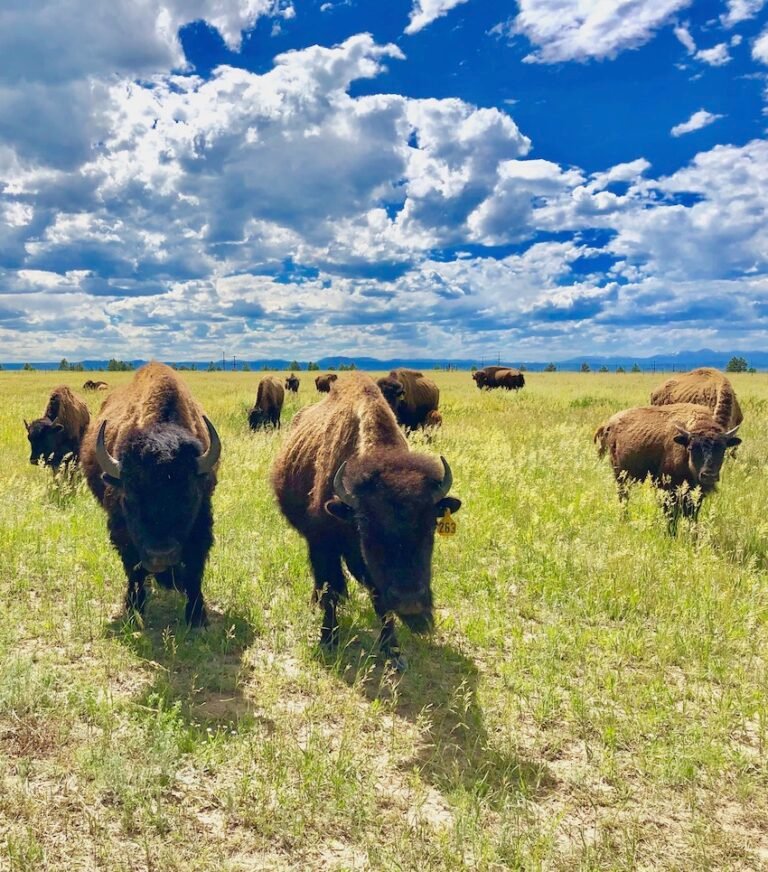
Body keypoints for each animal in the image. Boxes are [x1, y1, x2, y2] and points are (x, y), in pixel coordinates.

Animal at [81, 362, 221, 626]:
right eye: (129, 497)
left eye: (189, 496)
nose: (160, 556)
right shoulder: (122, 531)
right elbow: (133, 569)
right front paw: (134, 608)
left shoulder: (201, 522)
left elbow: (195, 567)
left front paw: (196, 616)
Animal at [271, 373, 461, 670]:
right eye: (366, 527)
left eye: (431, 525)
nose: (410, 604)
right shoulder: (323, 543)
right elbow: (330, 588)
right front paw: (328, 640)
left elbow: (376, 594)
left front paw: (393, 651)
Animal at [595, 402, 740, 527]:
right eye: (691, 448)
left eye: (722, 448)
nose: (708, 475)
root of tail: (609, 424)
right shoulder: (667, 489)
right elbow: (671, 516)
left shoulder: (696, 494)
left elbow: (691, 517)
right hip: (621, 476)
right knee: (623, 497)